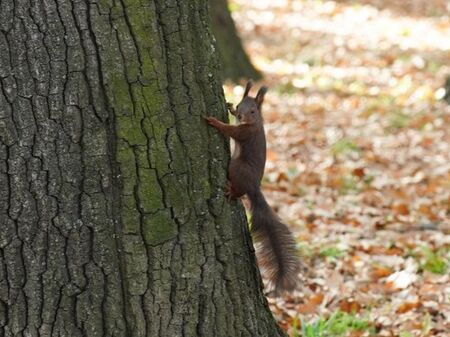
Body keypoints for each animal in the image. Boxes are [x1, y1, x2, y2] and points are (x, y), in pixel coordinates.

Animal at [206, 80, 300, 292]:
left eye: (253, 111)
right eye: (241, 105)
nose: (240, 115)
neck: (255, 122)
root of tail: (254, 188)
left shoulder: (245, 132)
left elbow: (229, 130)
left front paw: (214, 121)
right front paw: (229, 107)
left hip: (236, 167)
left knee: (237, 188)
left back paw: (231, 191)